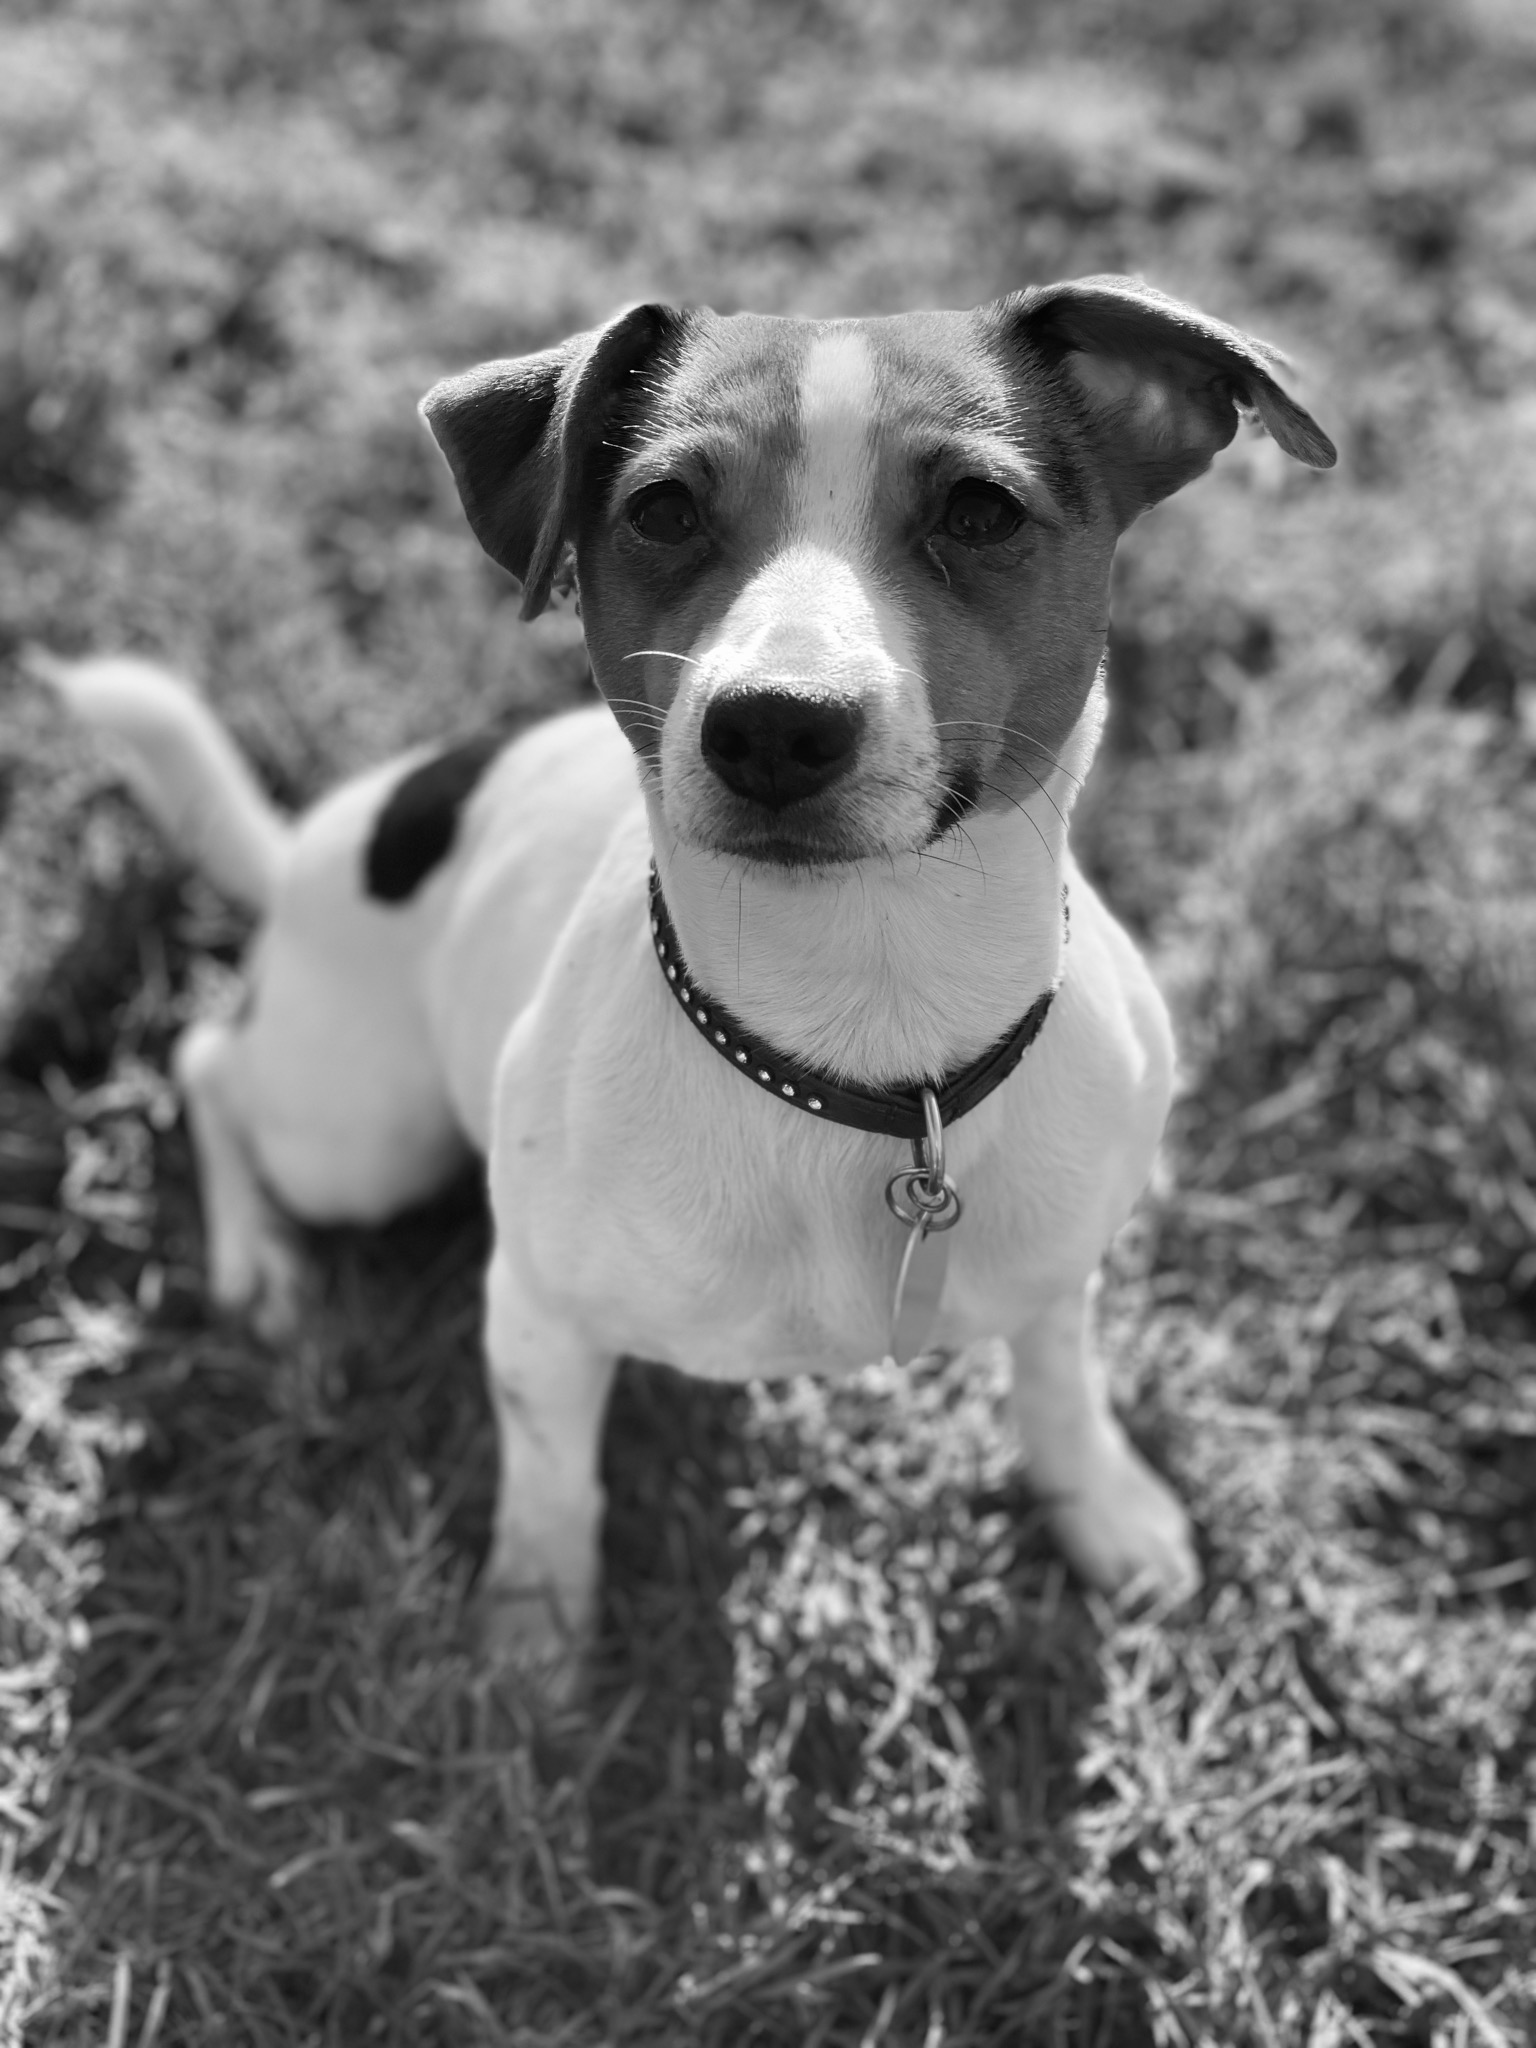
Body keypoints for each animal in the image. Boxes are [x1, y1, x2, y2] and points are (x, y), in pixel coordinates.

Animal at [42, 275, 1333, 1683]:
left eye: (981, 510)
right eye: (662, 508)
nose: (774, 721)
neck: (867, 1032)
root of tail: (323, 845)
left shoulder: (1058, 1268)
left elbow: (1059, 1388)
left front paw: (1102, 1506)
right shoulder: (537, 1321)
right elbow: (552, 1490)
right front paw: (533, 1640)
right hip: (356, 1135)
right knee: (207, 1063)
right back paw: (262, 1267)